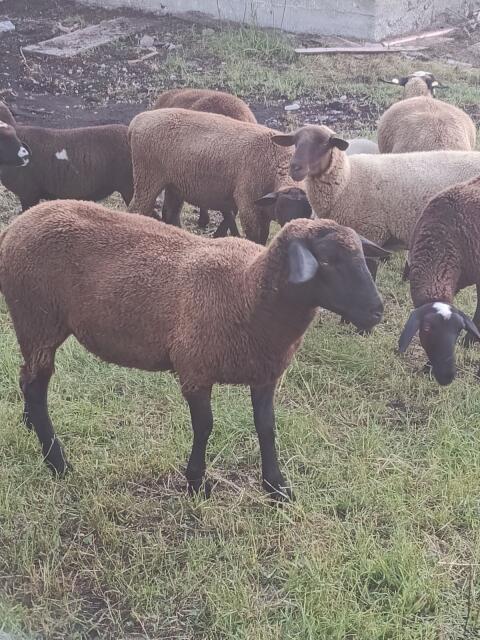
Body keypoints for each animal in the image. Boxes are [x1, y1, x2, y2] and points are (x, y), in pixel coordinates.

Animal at [0, 199, 387, 500]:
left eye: (360, 257)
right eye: (327, 261)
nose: (376, 311)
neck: (247, 289)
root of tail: (18, 224)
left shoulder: (265, 373)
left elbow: (266, 427)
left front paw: (277, 487)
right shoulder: (195, 368)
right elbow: (205, 426)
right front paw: (196, 483)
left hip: (35, 325)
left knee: (27, 379)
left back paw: (32, 427)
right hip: (37, 317)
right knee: (36, 385)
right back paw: (58, 463)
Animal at [128, 108, 311, 245]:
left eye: (308, 212)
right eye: (282, 209)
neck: (277, 161)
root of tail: (138, 120)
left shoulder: (263, 209)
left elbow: (263, 236)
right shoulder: (248, 204)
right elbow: (254, 237)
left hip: (174, 184)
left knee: (170, 214)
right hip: (147, 177)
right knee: (136, 209)